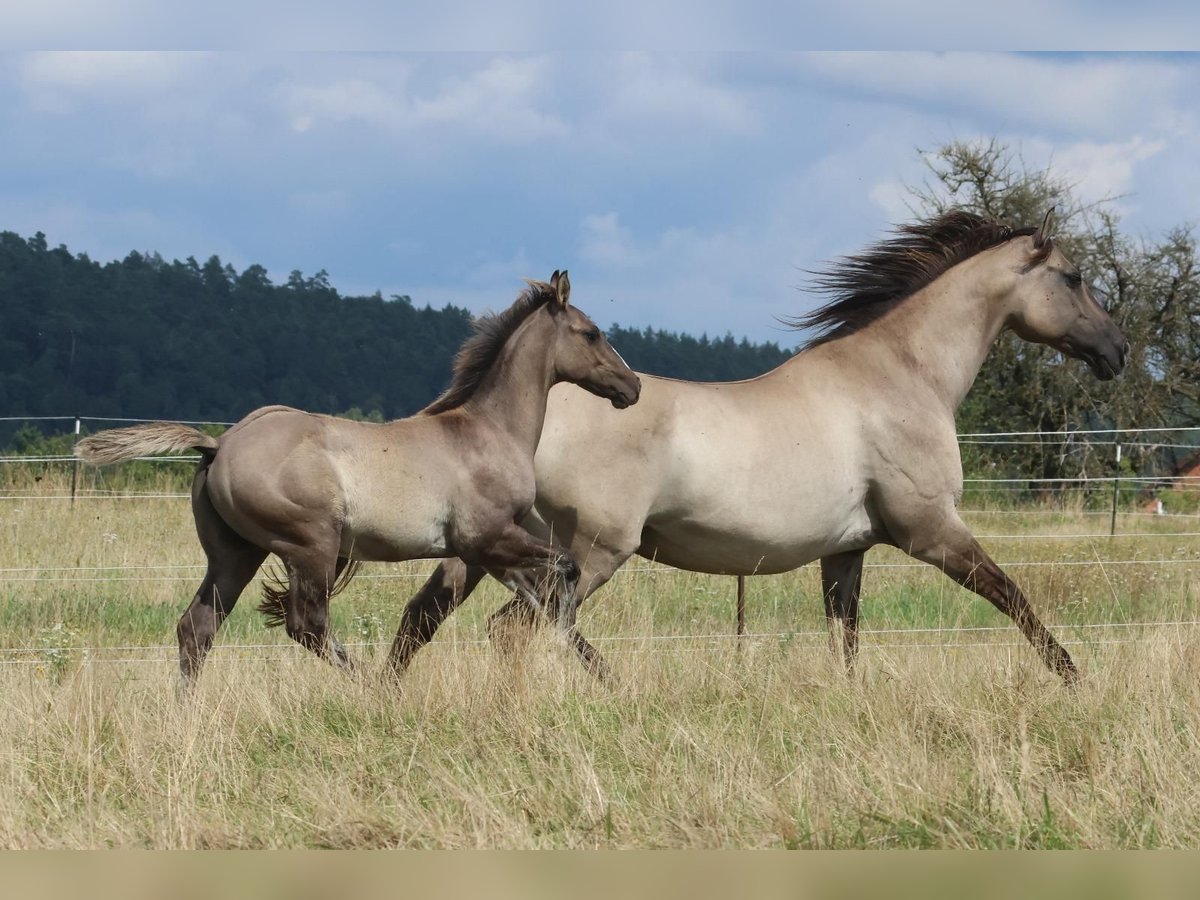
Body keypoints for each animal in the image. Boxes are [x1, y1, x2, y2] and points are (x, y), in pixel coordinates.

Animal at [76, 271, 643, 686]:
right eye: (591, 333)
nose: (632, 387)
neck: (487, 430)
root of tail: (219, 445)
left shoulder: (486, 551)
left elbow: (542, 602)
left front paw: (608, 677)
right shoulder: (488, 538)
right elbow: (565, 574)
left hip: (234, 554)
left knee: (197, 627)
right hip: (311, 546)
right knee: (306, 626)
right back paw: (369, 689)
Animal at [391, 213, 1123, 691]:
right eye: (1074, 277)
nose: (1116, 351)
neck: (900, 375)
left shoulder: (846, 550)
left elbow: (845, 637)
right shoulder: (933, 530)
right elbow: (1014, 599)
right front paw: (1074, 679)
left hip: (487, 550)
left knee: (425, 620)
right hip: (589, 552)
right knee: (515, 631)